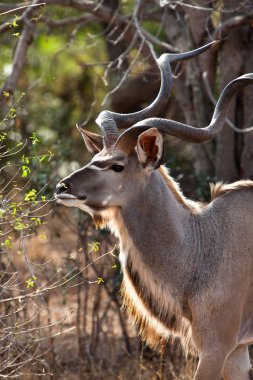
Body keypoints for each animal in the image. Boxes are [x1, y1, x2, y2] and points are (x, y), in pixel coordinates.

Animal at [55, 42, 253, 380]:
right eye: (94, 158)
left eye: (117, 166)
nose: (62, 187)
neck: (203, 245)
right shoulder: (237, 351)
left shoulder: (217, 347)